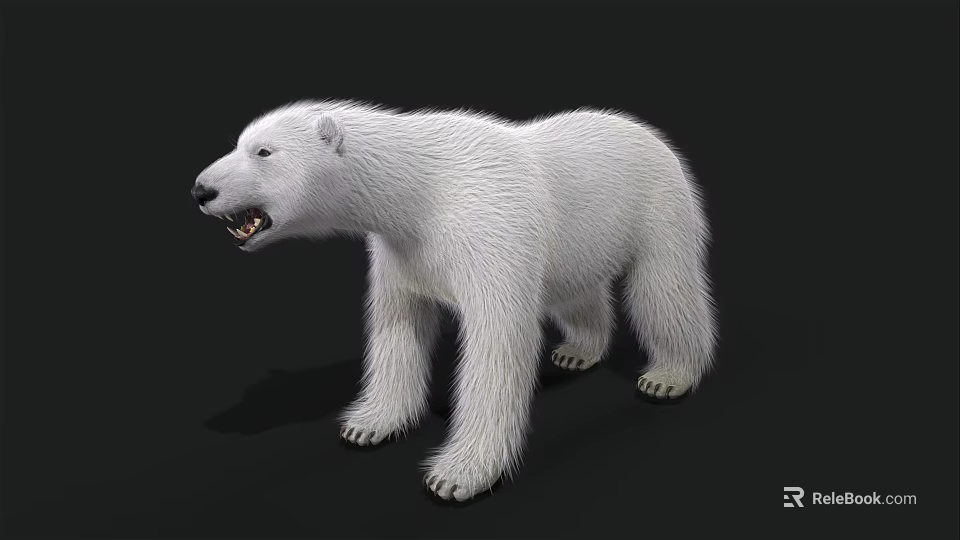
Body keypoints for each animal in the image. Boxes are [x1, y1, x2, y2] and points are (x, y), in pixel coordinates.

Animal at [192, 100, 718, 501]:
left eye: (264, 150)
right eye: (239, 142)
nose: (201, 189)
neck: (420, 189)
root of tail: (645, 130)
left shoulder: (490, 229)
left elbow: (496, 344)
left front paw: (457, 475)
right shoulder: (402, 250)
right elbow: (398, 325)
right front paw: (368, 424)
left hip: (658, 206)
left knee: (665, 289)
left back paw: (670, 375)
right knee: (577, 292)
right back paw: (577, 351)